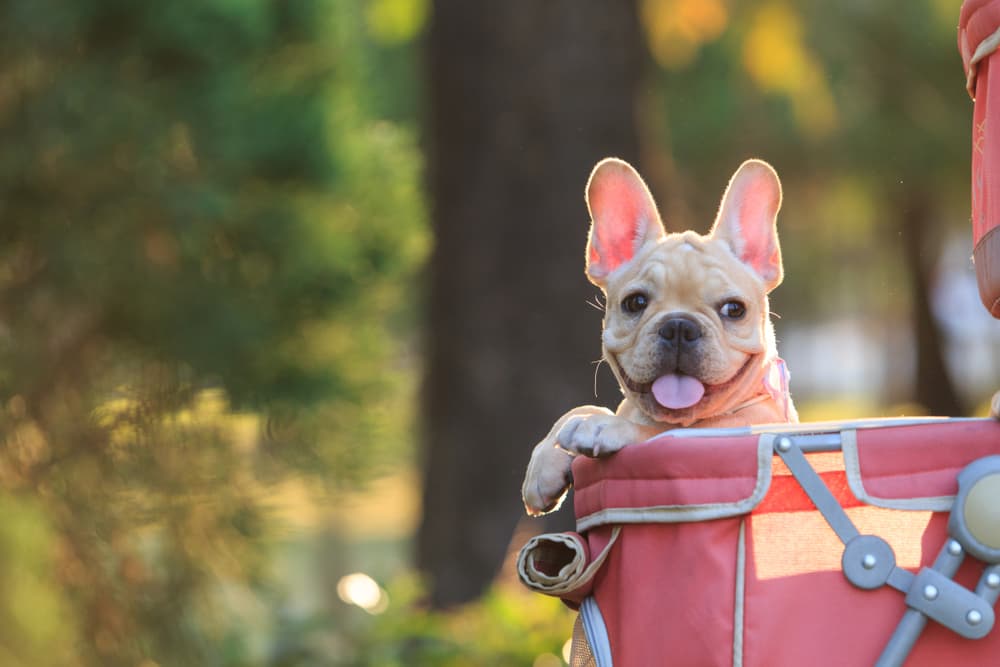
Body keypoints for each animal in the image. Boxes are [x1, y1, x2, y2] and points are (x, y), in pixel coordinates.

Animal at [524, 157, 796, 516]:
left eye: (734, 309)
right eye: (635, 303)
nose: (679, 326)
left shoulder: (733, 433)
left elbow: (660, 434)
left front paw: (604, 427)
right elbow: (586, 407)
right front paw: (544, 462)